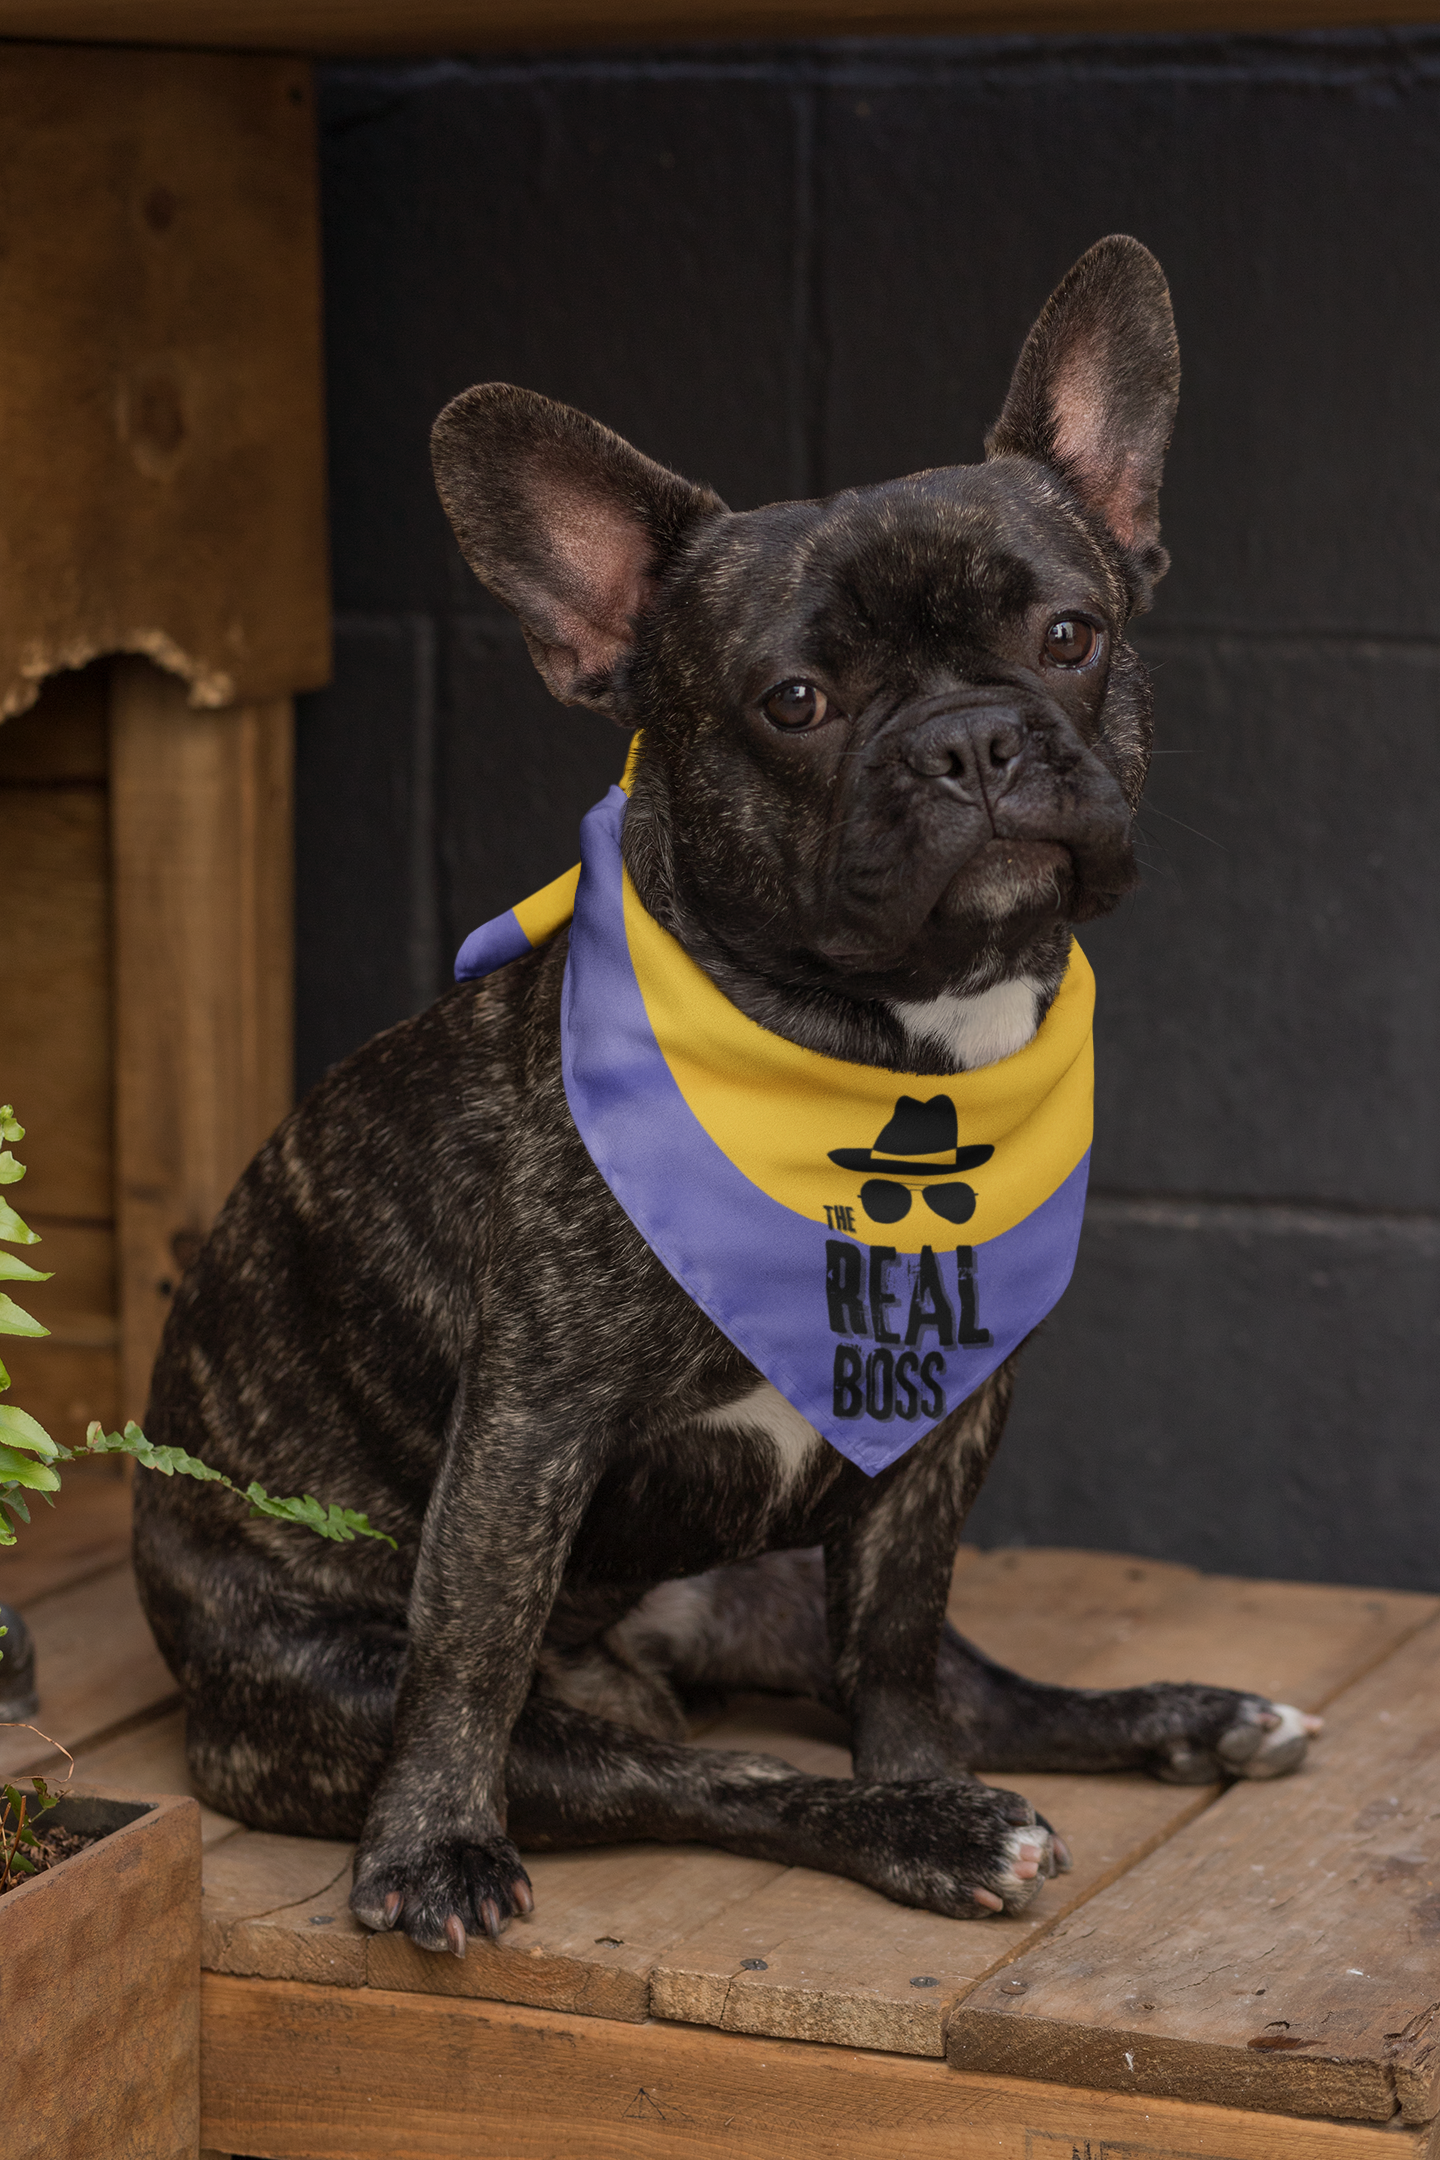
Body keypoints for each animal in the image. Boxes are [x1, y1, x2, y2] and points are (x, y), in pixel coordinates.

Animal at [132, 236, 1321, 1961]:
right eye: (796, 702)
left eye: (1070, 637)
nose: (973, 741)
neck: (875, 1045)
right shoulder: (531, 1423)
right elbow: (472, 1649)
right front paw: (430, 1847)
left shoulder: (940, 1418)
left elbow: (898, 1637)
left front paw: (923, 1771)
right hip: (348, 1684)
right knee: (690, 1772)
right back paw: (907, 1822)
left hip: (780, 1571)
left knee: (956, 1685)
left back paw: (1175, 1722)